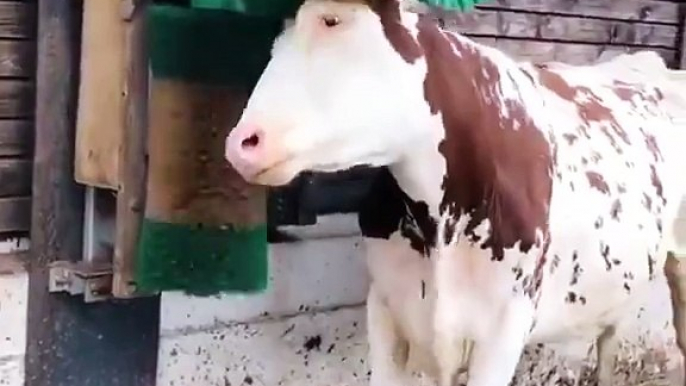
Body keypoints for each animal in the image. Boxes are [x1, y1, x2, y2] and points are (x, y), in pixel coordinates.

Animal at [223, 0, 686, 386]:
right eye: (276, 39)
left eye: (331, 20)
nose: (242, 142)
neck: (441, 222)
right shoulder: (386, 309)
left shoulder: (504, 328)